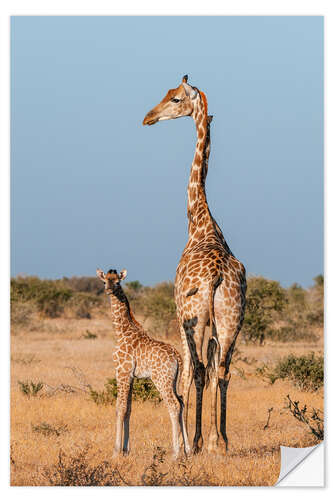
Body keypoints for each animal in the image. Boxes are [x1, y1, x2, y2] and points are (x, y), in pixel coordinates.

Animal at [96, 268, 189, 458]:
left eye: (117, 282)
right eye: (104, 281)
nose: (108, 290)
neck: (121, 331)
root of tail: (178, 357)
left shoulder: (122, 372)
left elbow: (120, 408)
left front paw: (115, 452)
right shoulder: (131, 376)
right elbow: (129, 409)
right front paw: (126, 450)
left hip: (161, 380)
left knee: (174, 405)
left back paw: (175, 454)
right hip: (173, 381)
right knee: (182, 402)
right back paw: (188, 450)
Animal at [143, 75, 246, 454]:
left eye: (175, 99)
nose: (148, 117)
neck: (199, 221)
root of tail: (215, 275)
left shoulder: (179, 312)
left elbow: (187, 373)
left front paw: (186, 441)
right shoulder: (219, 324)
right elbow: (214, 369)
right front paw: (214, 438)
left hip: (194, 318)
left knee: (199, 369)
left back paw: (198, 441)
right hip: (232, 318)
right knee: (223, 369)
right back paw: (222, 440)